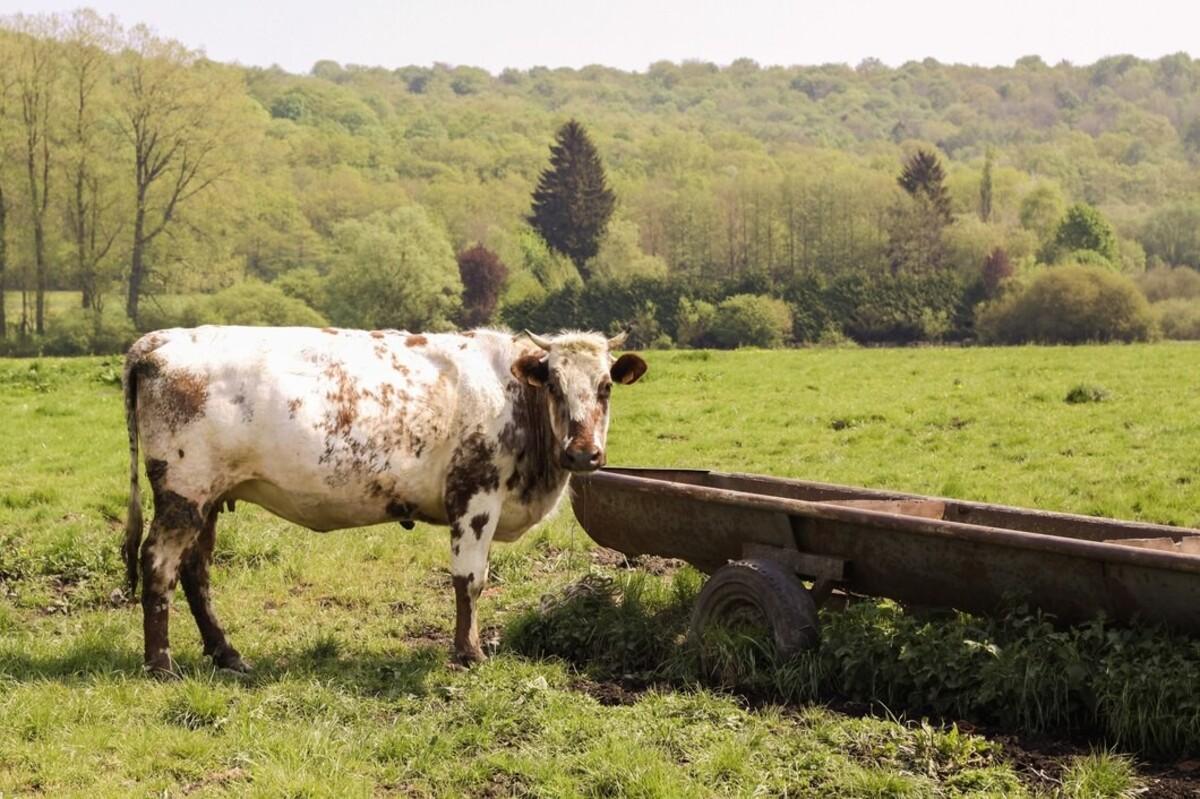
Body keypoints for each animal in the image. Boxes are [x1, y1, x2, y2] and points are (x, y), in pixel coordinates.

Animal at [121, 326, 648, 676]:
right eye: (555, 384)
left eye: (605, 386)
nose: (583, 453)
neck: (514, 398)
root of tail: (157, 341)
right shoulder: (475, 494)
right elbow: (470, 581)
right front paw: (469, 653)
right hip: (183, 491)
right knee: (160, 564)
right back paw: (160, 664)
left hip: (209, 497)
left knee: (196, 572)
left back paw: (226, 654)